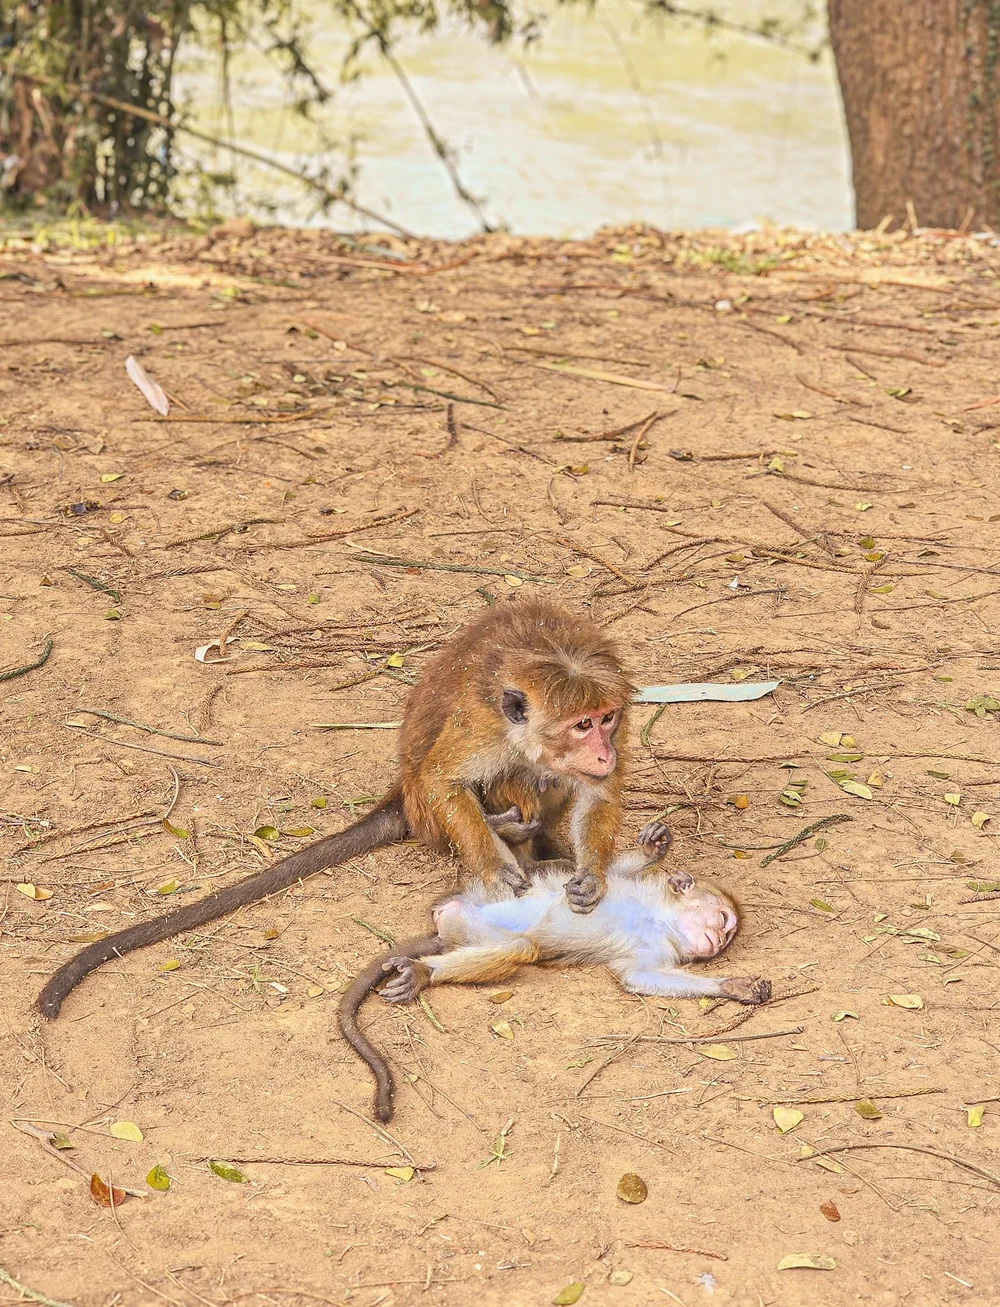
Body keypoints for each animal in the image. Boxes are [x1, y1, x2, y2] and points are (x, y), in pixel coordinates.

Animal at [37, 599, 640, 1018]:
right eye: (581, 725)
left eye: (607, 719)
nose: (604, 750)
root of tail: (399, 801)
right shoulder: (482, 724)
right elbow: (443, 778)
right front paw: (496, 868)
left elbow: (599, 792)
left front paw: (591, 875)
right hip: (425, 808)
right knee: (494, 781)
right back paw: (508, 832)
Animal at [339, 847, 771, 1122]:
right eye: (723, 922)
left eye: (727, 937)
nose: (717, 945)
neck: (659, 919)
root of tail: (446, 928)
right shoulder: (637, 894)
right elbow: (601, 875)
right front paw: (652, 849)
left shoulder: (654, 950)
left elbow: (638, 975)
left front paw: (731, 985)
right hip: (468, 917)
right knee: (520, 943)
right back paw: (424, 972)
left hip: (469, 929)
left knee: (519, 946)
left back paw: (422, 971)